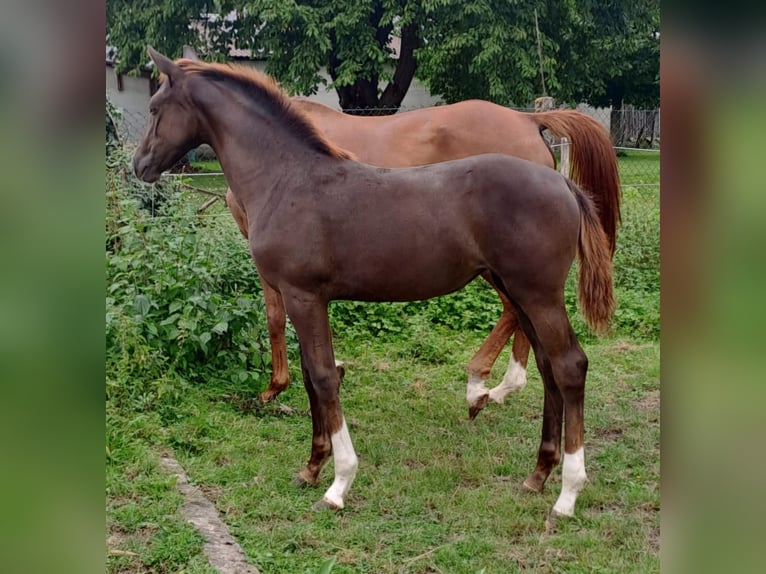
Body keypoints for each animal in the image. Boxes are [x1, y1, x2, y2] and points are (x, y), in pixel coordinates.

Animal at [222, 91, 616, 414]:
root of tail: (527, 119)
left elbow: (275, 317)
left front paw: (274, 387)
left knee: (515, 312)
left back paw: (491, 385)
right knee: (518, 315)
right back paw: (499, 386)